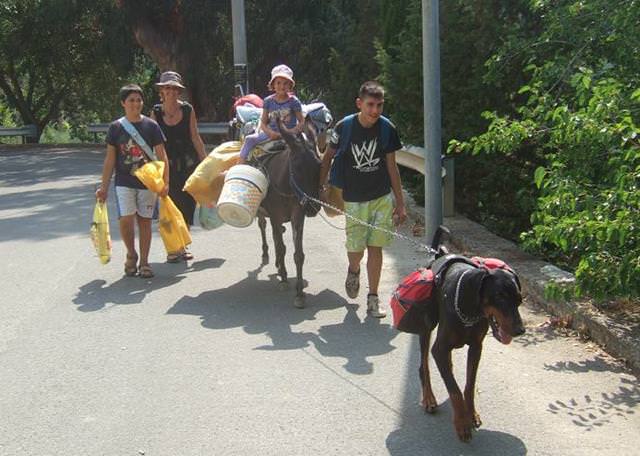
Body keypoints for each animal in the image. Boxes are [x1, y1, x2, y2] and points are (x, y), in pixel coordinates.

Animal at [418, 228, 524, 442]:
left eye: (519, 300)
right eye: (500, 296)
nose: (520, 330)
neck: (469, 310)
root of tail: (439, 255)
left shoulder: (476, 348)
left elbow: (469, 385)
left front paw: (471, 414)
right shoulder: (439, 349)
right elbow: (455, 390)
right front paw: (461, 424)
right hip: (427, 327)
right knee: (424, 364)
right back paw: (429, 398)